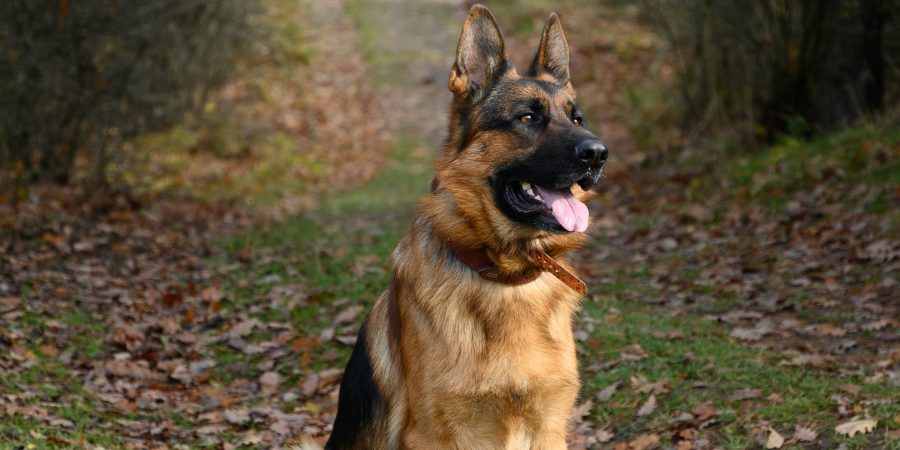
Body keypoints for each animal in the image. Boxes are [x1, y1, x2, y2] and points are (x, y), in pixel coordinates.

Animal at [322, 4, 604, 450]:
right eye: (527, 117)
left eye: (577, 118)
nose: (598, 153)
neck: (507, 277)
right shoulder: (434, 434)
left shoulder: (548, 428)